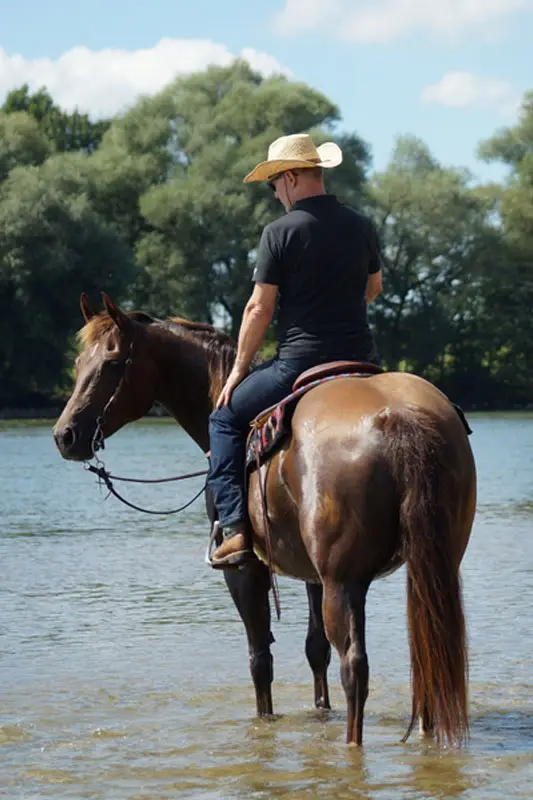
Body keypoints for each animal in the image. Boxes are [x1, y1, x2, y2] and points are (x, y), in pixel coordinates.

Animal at [53, 293, 477, 747]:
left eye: (113, 362)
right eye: (78, 362)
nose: (65, 435)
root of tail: (397, 417)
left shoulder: (244, 570)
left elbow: (260, 659)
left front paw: (265, 719)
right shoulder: (311, 573)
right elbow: (314, 650)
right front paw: (319, 709)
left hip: (344, 581)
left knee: (354, 667)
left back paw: (352, 744)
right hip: (430, 564)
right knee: (427, 648)